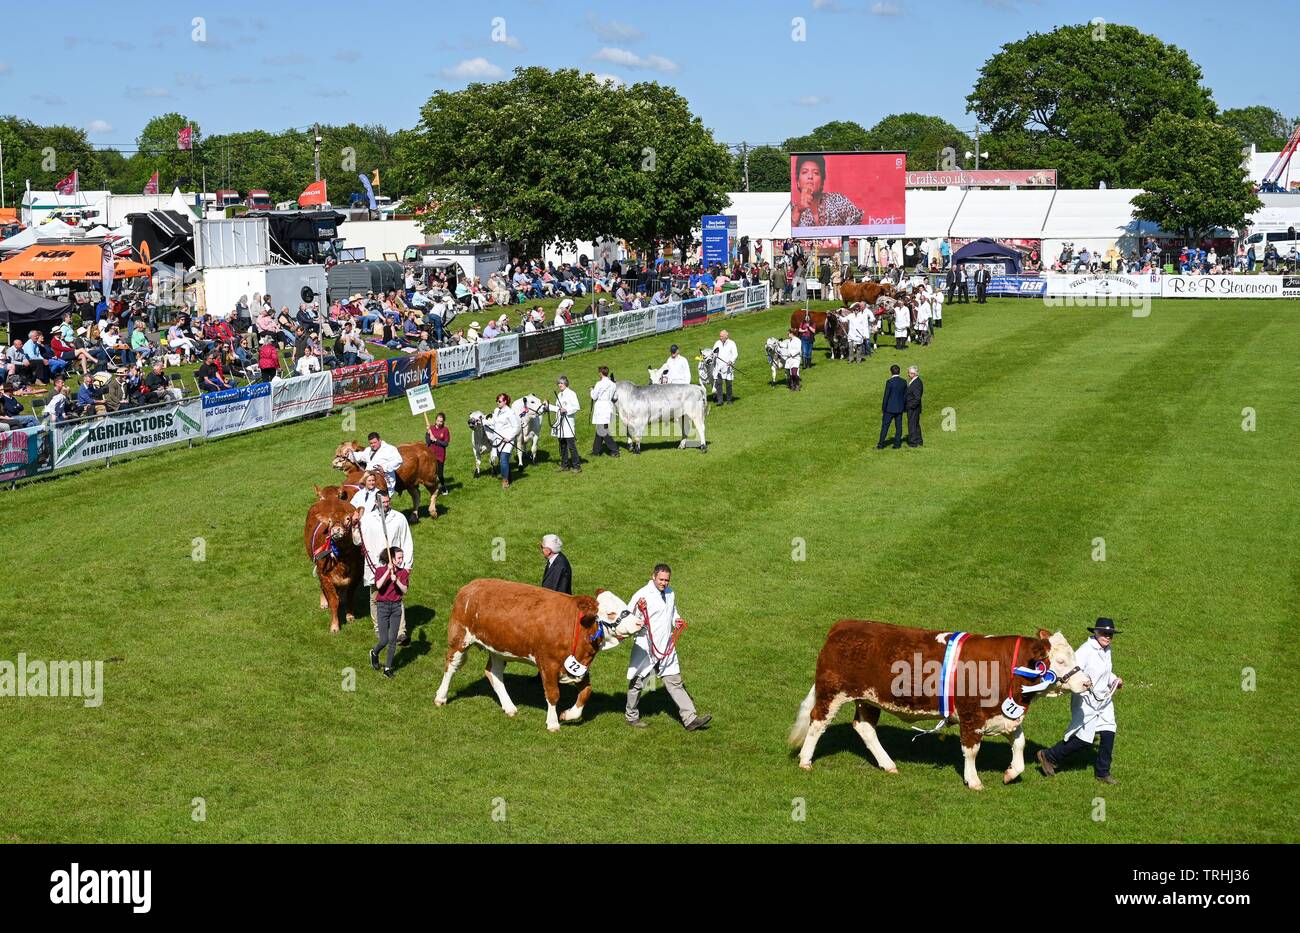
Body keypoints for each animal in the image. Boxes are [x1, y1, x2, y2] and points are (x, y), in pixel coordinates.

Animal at [302, 488, 364, 636]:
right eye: (329, 521)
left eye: (348, 519)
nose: (336, 530)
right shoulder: (324, 574)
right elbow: (333, 600)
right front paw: (335, 626)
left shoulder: (358, 574)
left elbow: (350, 594)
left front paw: (350, 615)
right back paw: (324, 602)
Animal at [434, 582, 642, 732]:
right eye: (611, 612)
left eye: (625, 606)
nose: (639, 623)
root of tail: (470, 586)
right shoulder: (548, 663)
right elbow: (553, 694)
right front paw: (553, 723)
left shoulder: (578, 667)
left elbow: (586, 691)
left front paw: (568, 715)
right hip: (460, 638)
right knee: (451, 666)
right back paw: (441, 697)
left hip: (498, 648)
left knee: (493, 673)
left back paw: (509, 706)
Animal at [785, 623, 1092, 795]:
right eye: (1061, 660)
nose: (1087, 682)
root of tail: (841, 625)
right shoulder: (972, 717)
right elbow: (971, 751)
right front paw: (973, 781)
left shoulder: (1005, 716)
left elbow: (1019, 744)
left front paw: (1010, 773)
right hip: (832, 692)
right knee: (817, 723)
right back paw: (805, 760)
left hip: (869, 699)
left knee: (864, 728)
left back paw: (888, 764)